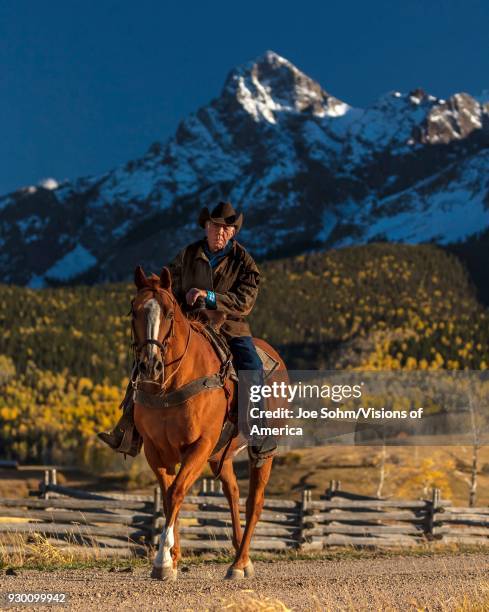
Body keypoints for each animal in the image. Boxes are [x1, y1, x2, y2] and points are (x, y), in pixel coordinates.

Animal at [132, 266, 288, 580]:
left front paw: (163, 561)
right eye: (133, 310)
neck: (170, 386)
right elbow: (167, 498)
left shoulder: (199, 447)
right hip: (221, 456)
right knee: (233, 493)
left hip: (263, 452)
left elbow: (177, 492)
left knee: (254, 502)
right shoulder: (156, 451)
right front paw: (172, 560)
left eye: (169, 313)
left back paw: (239, 564)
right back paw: (242, 559)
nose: (150, 366)